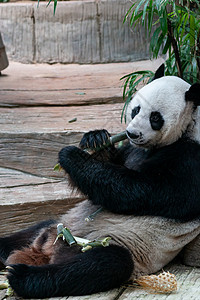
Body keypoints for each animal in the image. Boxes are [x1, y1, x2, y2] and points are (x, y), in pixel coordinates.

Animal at [0, 65, 200, 298]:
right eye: (136, 109)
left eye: (155, 117)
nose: (132, 133)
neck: (188, 127)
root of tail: (46, 251)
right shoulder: (131, 150)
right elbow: (113, 167)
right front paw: (95, 139)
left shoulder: (189, 161)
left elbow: (141, 190)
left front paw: (72, 156)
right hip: (58, 224)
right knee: (29, 232)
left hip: (109, 245)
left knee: (99, 265)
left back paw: (21, 276)